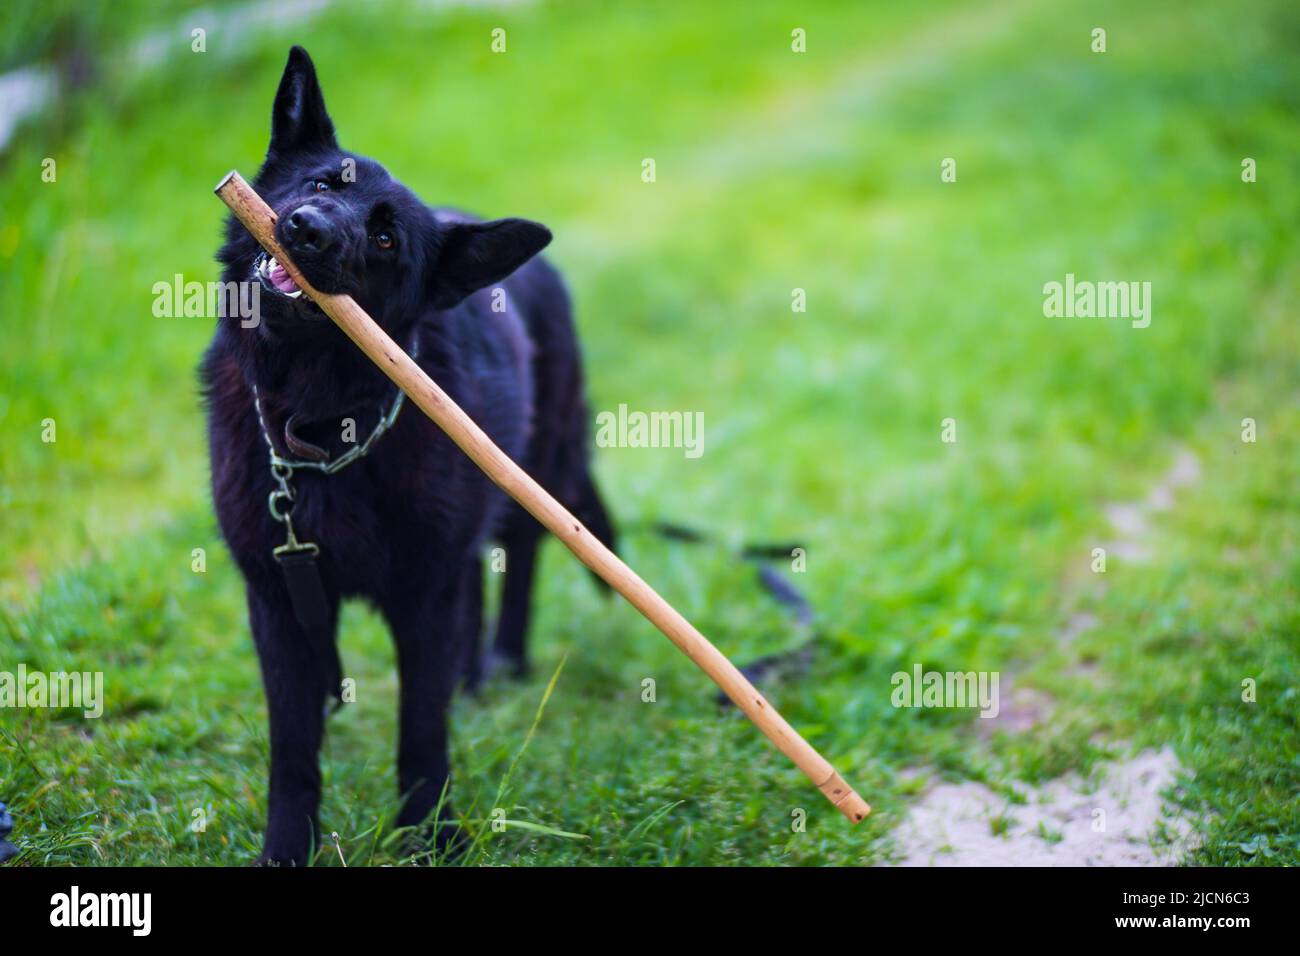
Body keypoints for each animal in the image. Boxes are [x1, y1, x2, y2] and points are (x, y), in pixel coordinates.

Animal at [200, 44, 616, 868]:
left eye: (387, 239)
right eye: (322, 184)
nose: (307, 231)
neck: (320, 427)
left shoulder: (422, 595)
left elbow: (422, 734)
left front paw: (433, 837)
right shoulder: (280, 602)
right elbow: (292, 751)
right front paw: (286, 849)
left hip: (535, 477)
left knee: (519, 559)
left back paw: (502, 665)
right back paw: (473, 680)